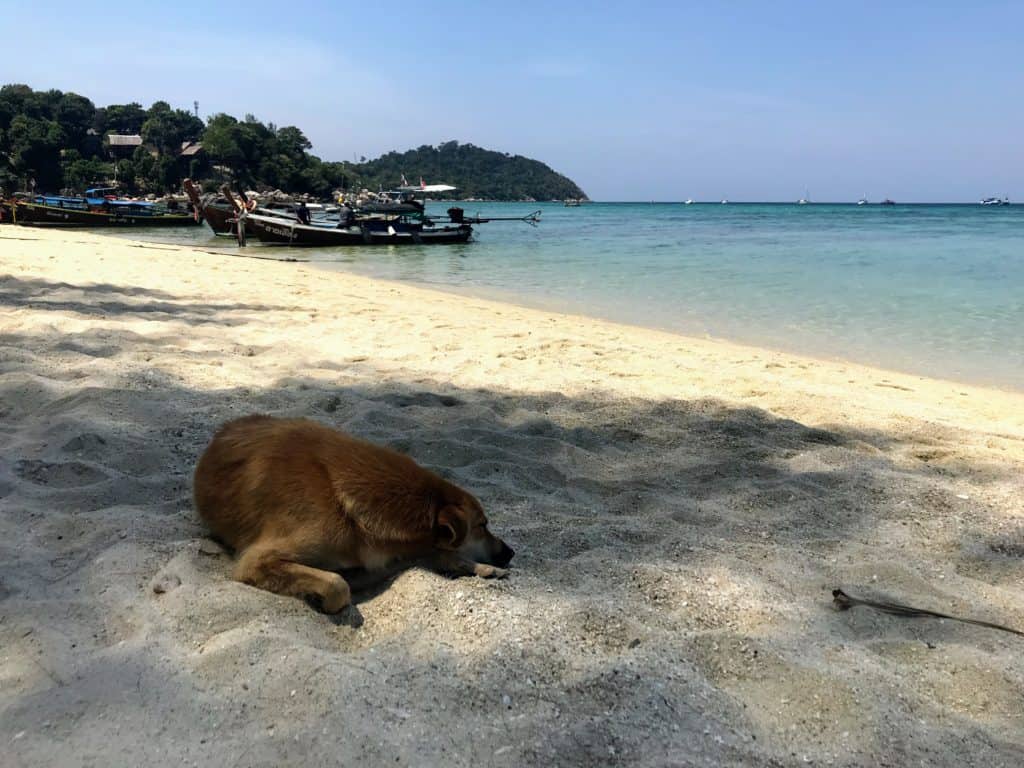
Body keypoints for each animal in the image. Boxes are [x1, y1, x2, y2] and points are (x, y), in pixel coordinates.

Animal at [192, 415, 512, 614]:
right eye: (482, 525)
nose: (511, 552)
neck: (341, 500)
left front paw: (477, 566)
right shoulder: (255, 561)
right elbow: (338, 585)